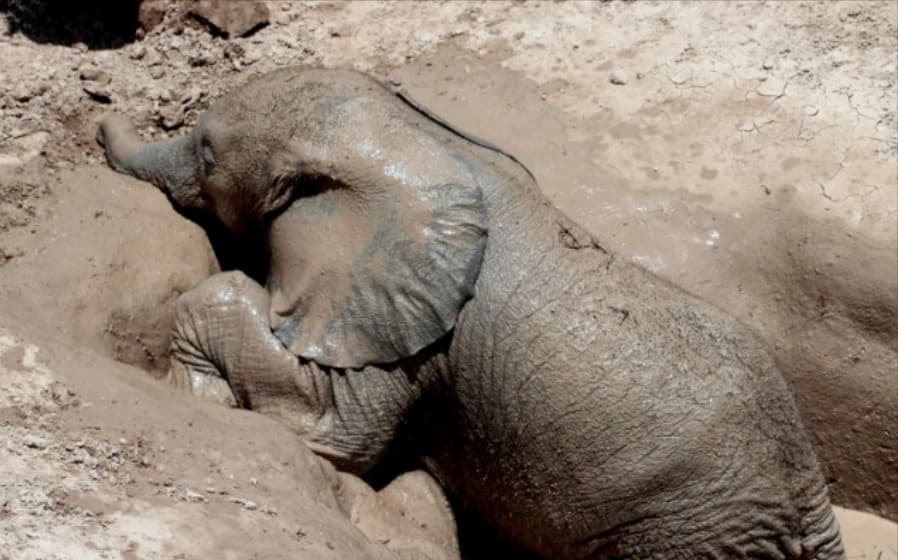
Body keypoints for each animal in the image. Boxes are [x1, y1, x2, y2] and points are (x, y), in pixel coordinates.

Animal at [96, 67, 845, 559]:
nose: (99, 115)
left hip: (679, 531)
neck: (418, 141)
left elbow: (342, 430)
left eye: (207, 155)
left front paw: (200, 388)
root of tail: (810, 502)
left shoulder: (399, 327)